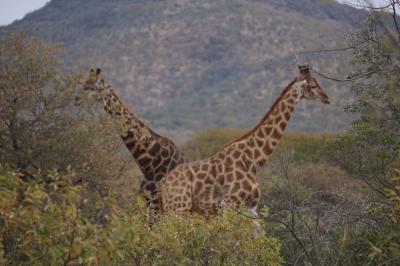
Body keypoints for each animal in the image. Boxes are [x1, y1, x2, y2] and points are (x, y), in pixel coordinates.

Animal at [76, 67, 188, 211]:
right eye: (83, 84)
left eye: (93, 87)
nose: (76, 99)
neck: (149, 163)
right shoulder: (146, 201)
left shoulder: (158, 205)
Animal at [161, 64, 330, 216]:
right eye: (313, 85)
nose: (327, 98)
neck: (253, 159)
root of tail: (163, 184)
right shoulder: (230, 204)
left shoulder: (251, 207)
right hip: (178, 208)